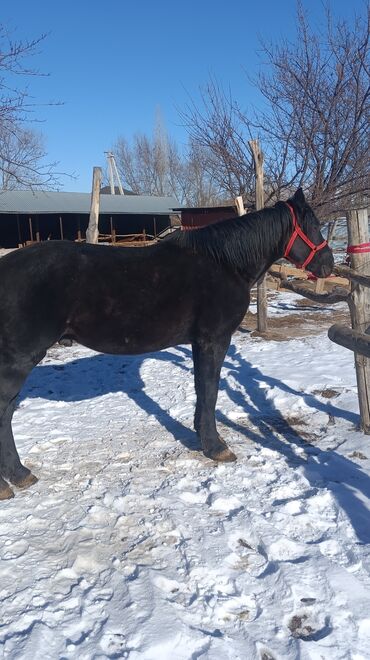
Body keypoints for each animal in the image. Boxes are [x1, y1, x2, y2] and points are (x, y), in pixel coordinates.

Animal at [0, 188, 332, 498]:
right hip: (18, 361)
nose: (328, 264)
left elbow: (202, 390)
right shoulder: (214, 340)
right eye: (315, 225)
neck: (225, 264)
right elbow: (210, 391)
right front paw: (216, 447)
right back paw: (14, 478)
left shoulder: (199, 343)